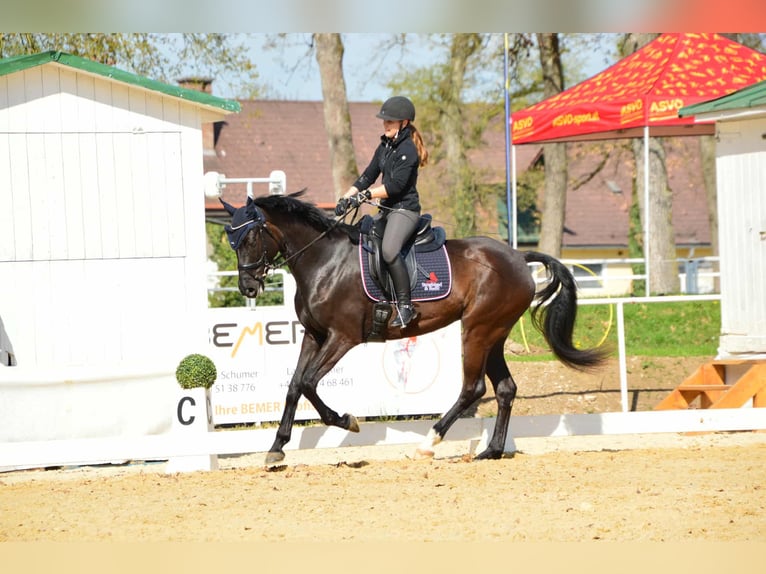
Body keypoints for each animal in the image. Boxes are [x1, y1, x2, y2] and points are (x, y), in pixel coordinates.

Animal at [220, 191, 609, 464]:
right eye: (231, 241)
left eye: (251, 237)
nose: (248, 288)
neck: (324, 261)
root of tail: (517, 255)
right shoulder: (314, 336)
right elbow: (293, 386)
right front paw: (277, 447)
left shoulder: (342, 337)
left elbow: (308, 383)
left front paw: (347, 420)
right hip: (494, 334)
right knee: (505, 389)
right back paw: (491, 451)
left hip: (477, 330)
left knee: (473, 388)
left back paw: (428, 443)